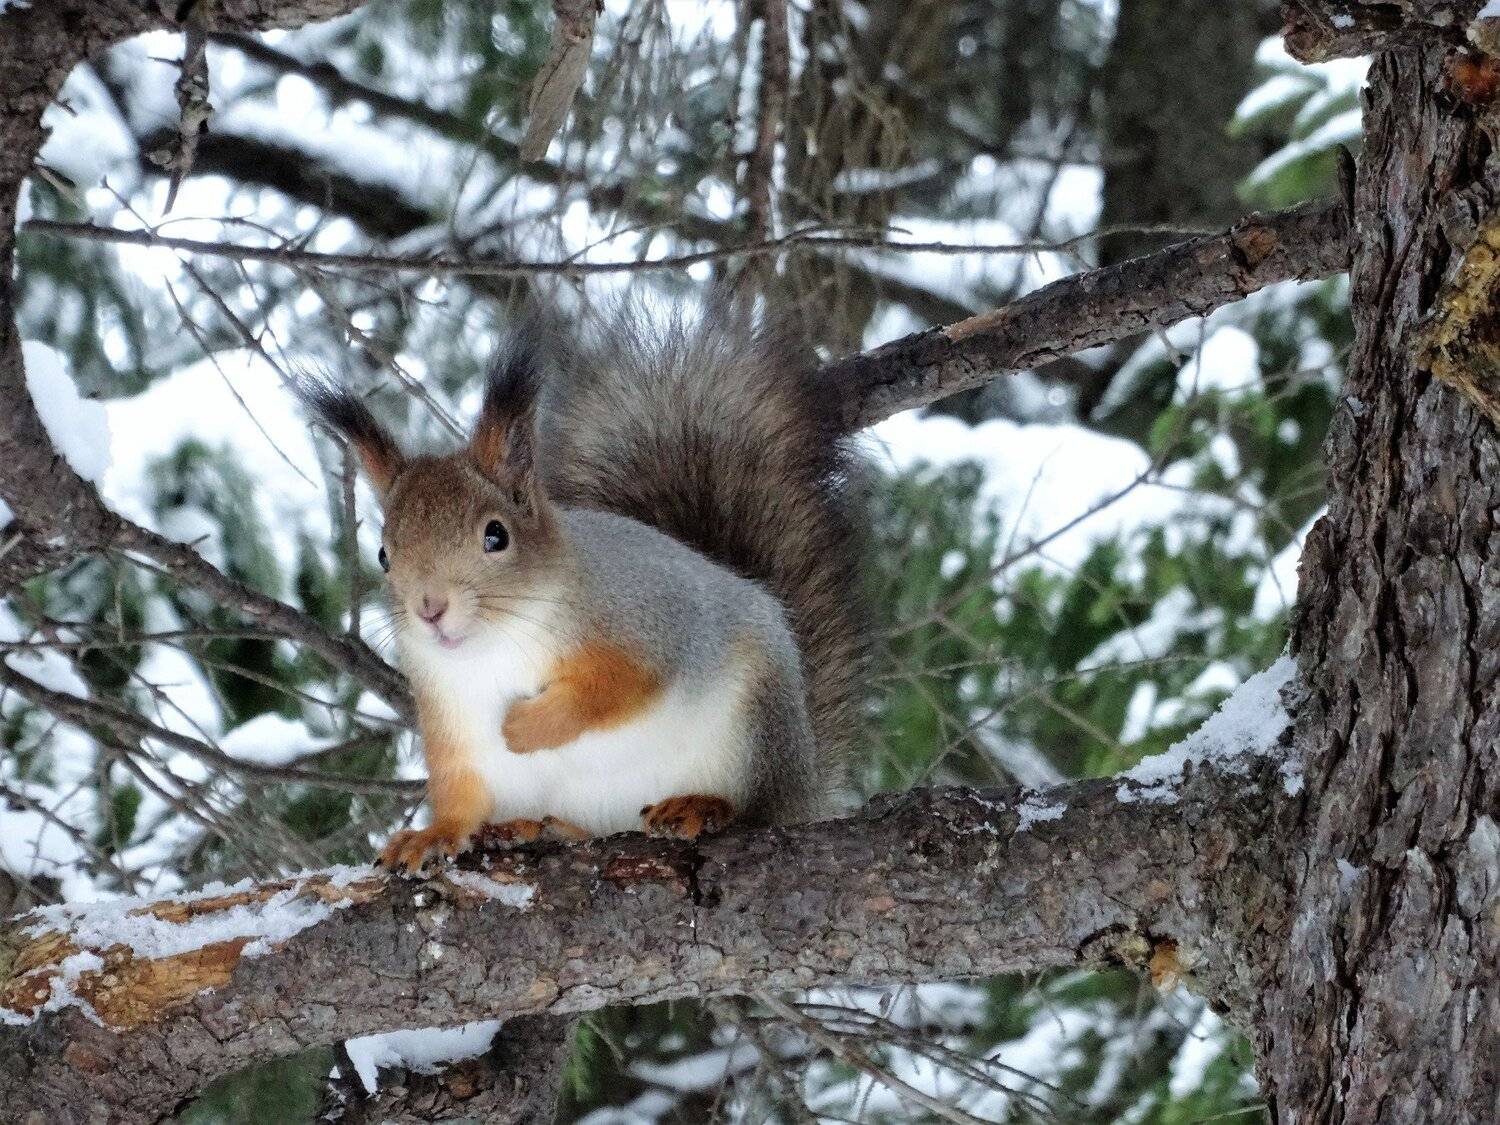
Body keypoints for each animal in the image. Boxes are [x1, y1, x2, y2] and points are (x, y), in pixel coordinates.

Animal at [300, 305, 867, 872]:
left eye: (496, 535)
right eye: (383, 555)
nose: (430, 608)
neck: (495, 645)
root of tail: (807, 787)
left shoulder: (650, 624)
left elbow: (613, 689)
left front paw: (524, 728)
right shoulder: (451, 724)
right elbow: (460, 793)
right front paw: (433, 835)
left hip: (756, 725)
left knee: (757, 810)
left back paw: (702, 806)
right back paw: (535, 828)